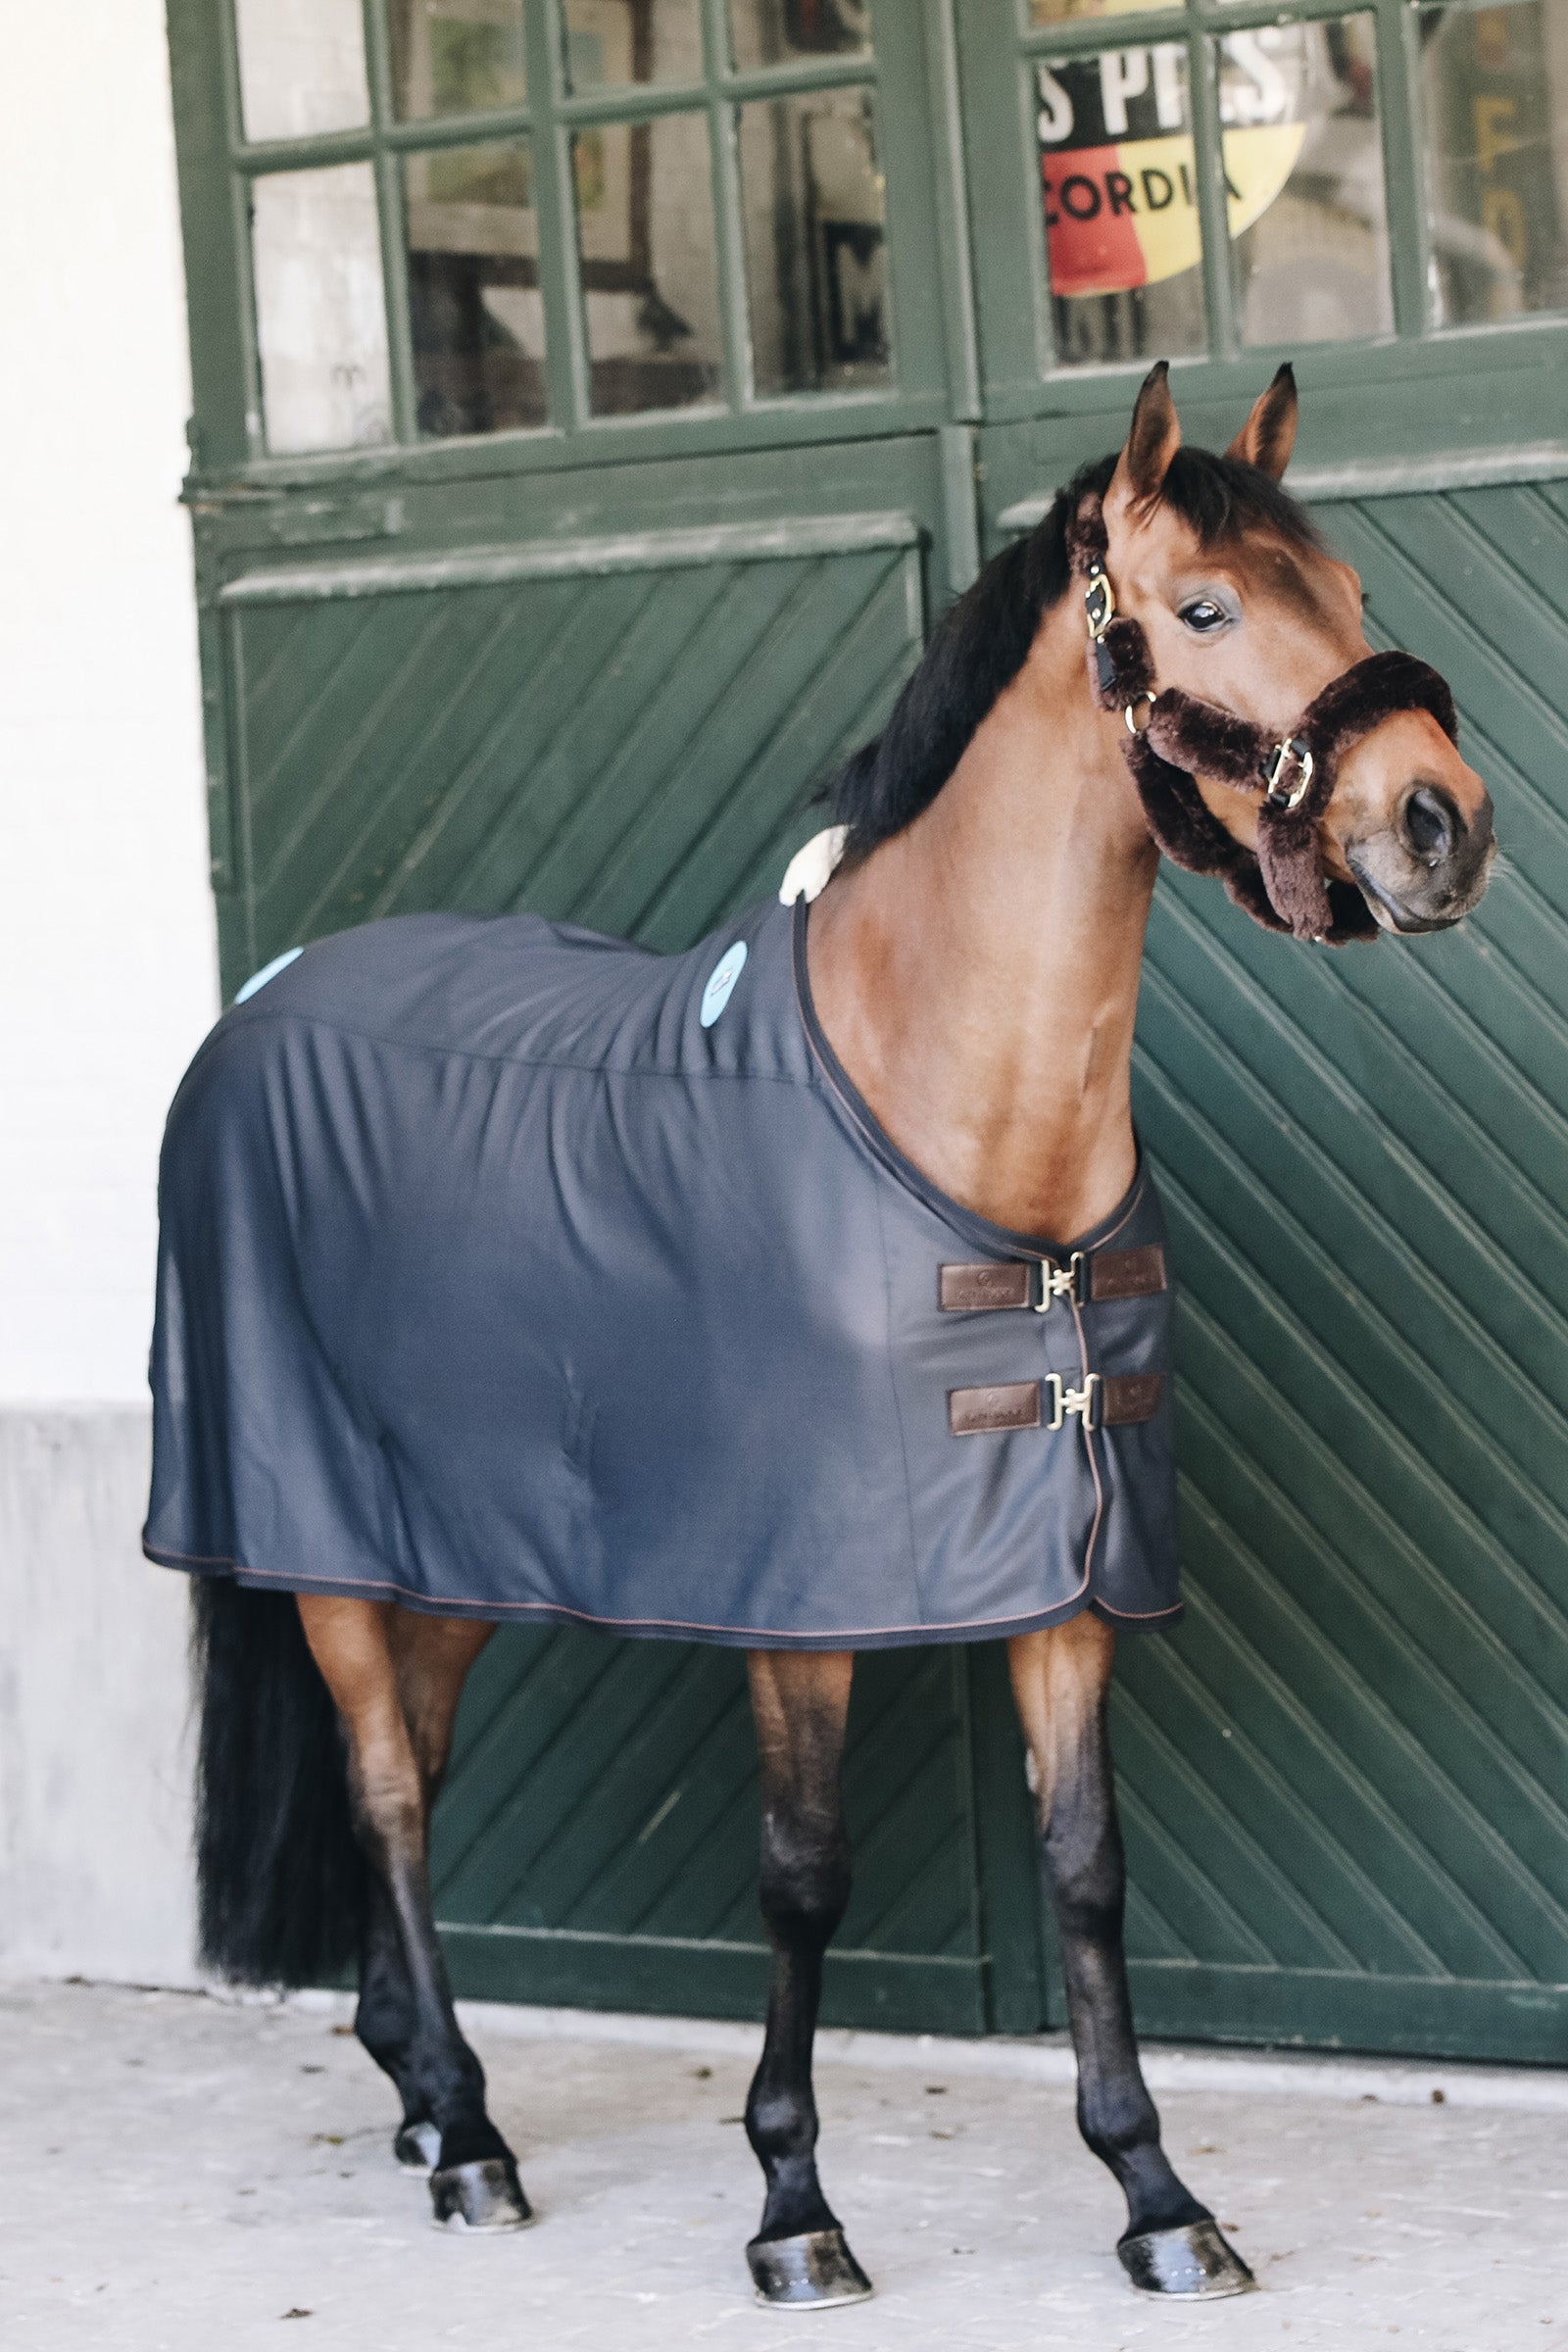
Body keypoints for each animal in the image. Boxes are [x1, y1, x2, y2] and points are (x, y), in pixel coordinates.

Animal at [148, 362, 1494, 2310]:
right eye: (1203, 611)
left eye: (1356, 597)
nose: (1442, 825)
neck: (943, 1108)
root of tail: (261, 1001)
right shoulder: (805, 1605)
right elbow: (802, 1877)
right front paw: (794, 2205)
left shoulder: (1071, 1577)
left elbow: (1085, 1864)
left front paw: (1157, 2197)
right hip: (321, 1548)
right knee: (391, 1796)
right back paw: (469, 2136)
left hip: (444, 1554)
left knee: (408, 1763)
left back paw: (415, 2087)